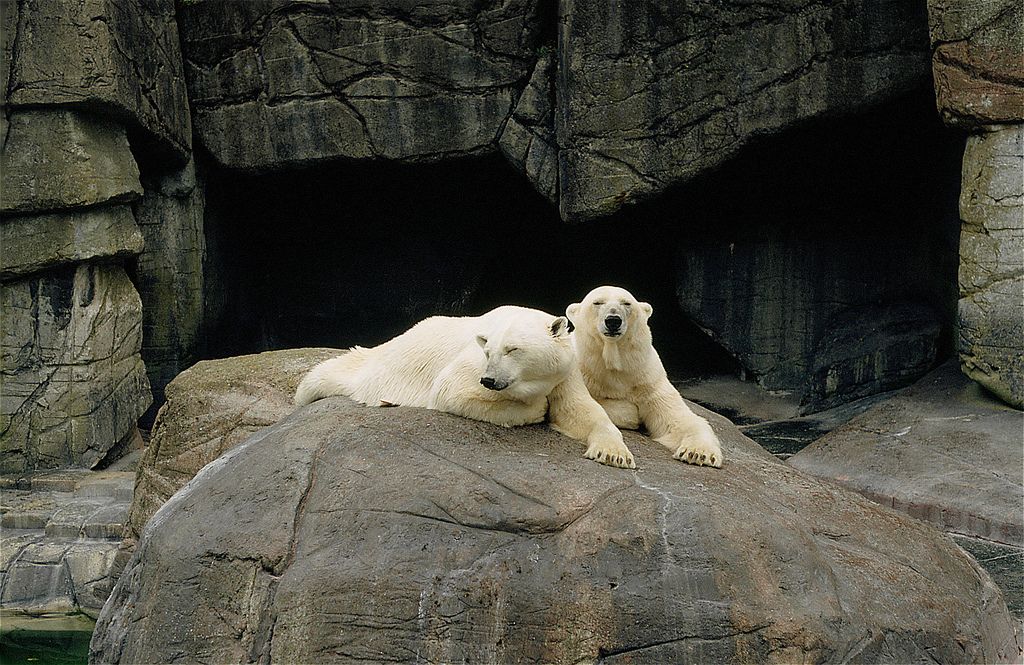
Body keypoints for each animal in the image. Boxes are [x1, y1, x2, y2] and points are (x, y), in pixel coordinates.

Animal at [295, 305, 636, 468]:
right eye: (490, 351)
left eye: (512, 349)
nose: (488, 380)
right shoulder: (470, 363)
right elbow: (452, 389)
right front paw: (536, 407)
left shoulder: (565, 370)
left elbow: (580, 410)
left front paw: (615, 454)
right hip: (385, 369)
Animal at [566, 286, 724, 468]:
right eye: (597, 302)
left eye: (626, 303)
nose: (613, 320)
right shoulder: (585, 373)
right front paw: (615, 449)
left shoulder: (648, 381)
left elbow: (680, 418)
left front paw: (700, 453)